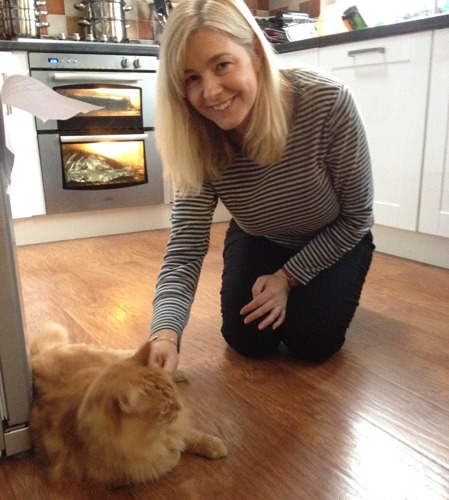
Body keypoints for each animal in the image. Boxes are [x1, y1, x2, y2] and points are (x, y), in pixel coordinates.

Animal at [29, 322, 226, 486]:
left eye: (172, 392)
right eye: (163, 409)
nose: (179, 407)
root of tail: (35, 357)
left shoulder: (176, 429)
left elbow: (190, 436)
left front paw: (214, 446)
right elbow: (176, 450)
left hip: (107, 355)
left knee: (129, 353)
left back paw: (179, 370)